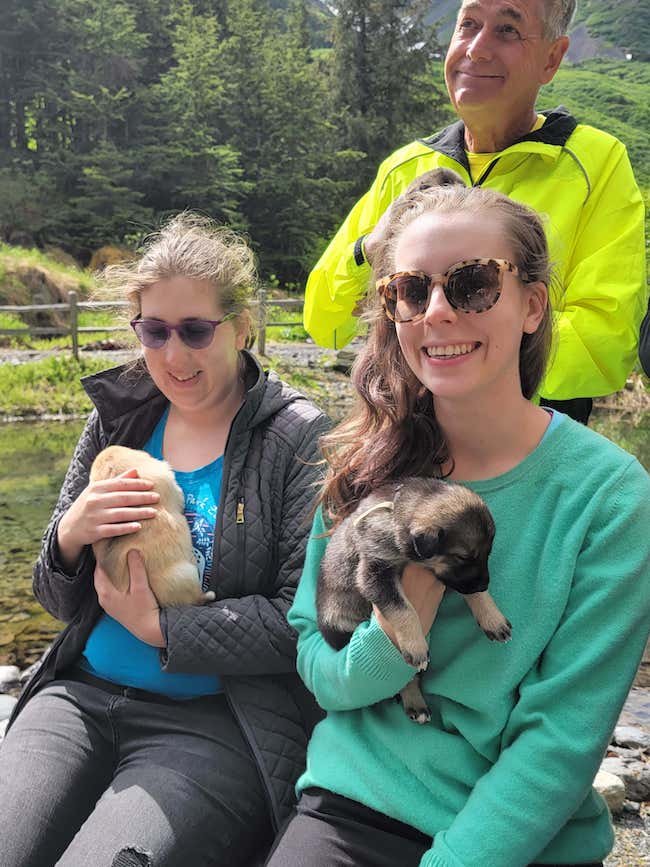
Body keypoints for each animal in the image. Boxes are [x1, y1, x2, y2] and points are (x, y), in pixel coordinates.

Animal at [316, 478, 508, 724]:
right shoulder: (375, 572)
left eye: (487, 553)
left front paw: (492, 617)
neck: (398, 512)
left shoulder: (452, 579)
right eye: (463, 557)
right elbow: (403, 610)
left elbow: (470, 592)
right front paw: (415, 646)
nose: (485, 584)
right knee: (405, 678)